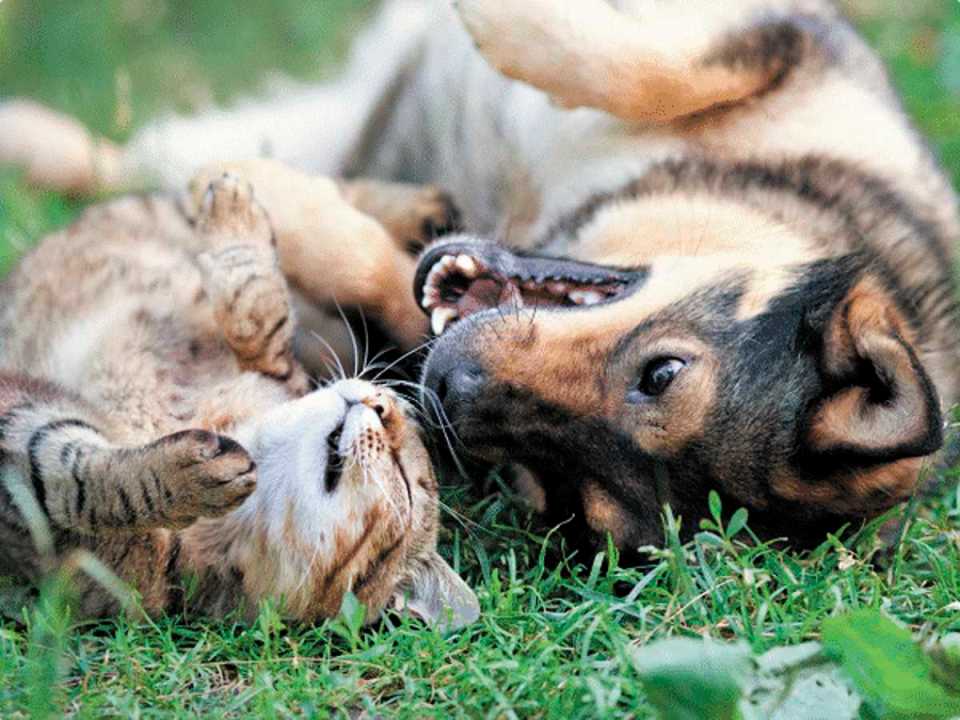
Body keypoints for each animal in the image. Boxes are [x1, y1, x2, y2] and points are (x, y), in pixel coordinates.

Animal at [2, 0, 958, 556]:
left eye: (568, 492)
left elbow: (373, 271)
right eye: (662, 372)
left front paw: (283, 206)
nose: (448, 389)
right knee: (121, 151)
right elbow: (660, 65)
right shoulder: (792, 41)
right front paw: (504, 21)